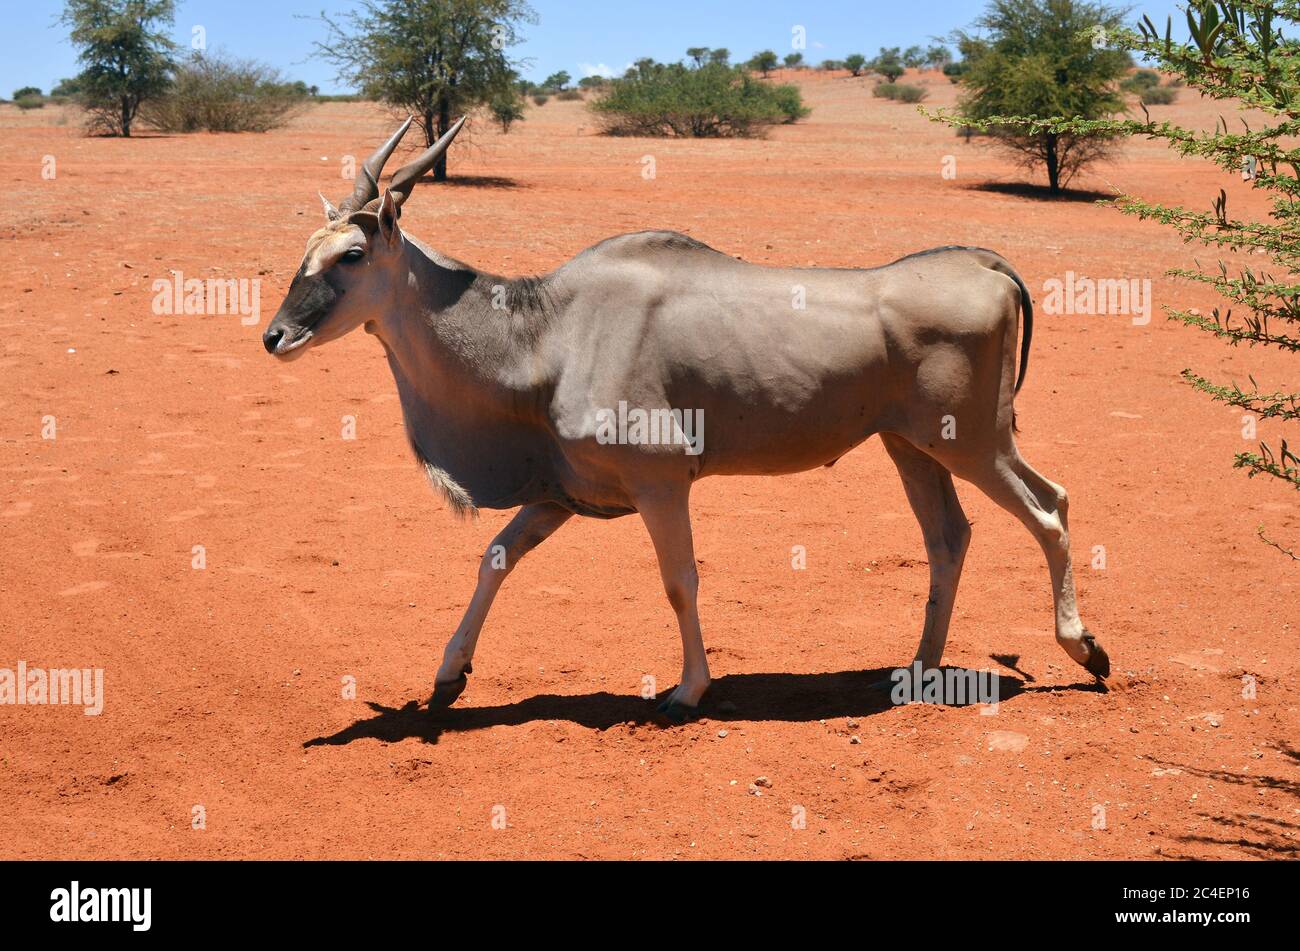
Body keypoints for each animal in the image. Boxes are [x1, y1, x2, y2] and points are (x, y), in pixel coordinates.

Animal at [261, 120, 1107, 727]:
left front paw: (688, 690)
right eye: (307, 248)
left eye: (351, 254)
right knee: (949, 537)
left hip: (974, 443)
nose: (275, 336)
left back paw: (1084, 649)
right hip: (913, 448)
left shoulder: (661, 484)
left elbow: (680, 581)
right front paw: (448, 676)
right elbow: (495, 557)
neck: (547, 330)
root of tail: (984, 262)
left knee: (1050, 508)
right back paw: (921, 667)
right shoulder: (563, 495)